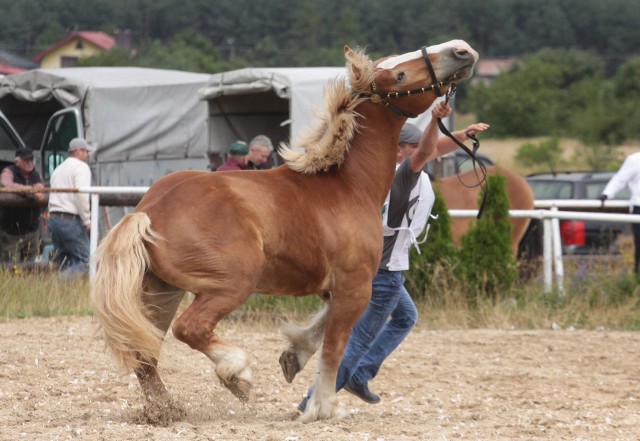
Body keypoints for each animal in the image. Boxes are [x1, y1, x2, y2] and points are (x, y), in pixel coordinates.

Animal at [92, 40, 478, 422]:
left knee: (145, 352)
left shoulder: (334, 287)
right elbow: (334, 348)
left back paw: (166, 410)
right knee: (190, 328)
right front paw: (323, 408)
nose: (462, 50)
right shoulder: (355, 286)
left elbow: (320, 330)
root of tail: (148, 211)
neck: (348, 185)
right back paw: (238, 376)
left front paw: (294, 355)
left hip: (163, 290)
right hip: (232, 284)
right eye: (399, 75)